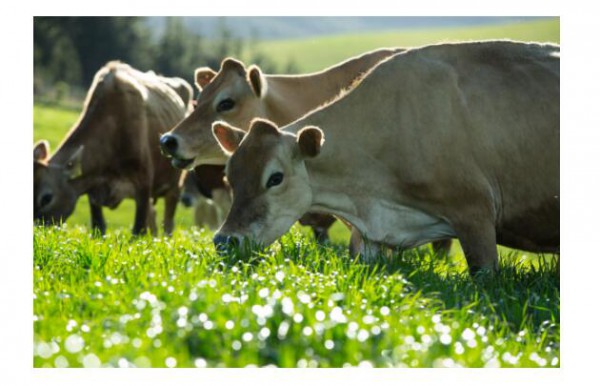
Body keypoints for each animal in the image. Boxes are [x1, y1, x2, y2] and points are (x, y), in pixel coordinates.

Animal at [33, 61, 192, 235]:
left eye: (46, 198)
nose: (37, 231)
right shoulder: (93, 189)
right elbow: (99, 227)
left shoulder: (143, 185)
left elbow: (138, 230)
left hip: (175, 185)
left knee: (168, 223)